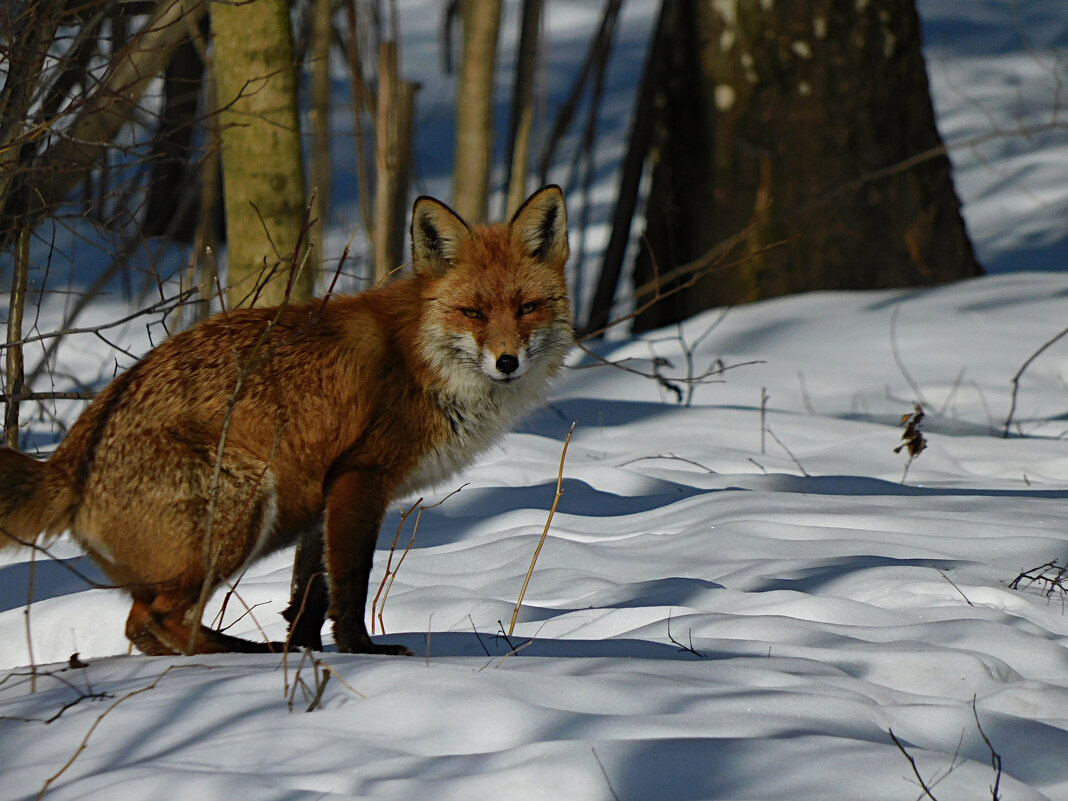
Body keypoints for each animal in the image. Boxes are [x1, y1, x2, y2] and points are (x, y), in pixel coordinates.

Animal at [0, 184, 576, 653]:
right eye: (473, 313)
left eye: (526, 308)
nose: (507, 362)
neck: (420, 358)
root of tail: (66, 459)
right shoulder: (360, 477)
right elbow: (350, 581)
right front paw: (363, 652)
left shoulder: (323, 493)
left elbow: (309, 592)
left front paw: (307, 652)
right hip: (249, 502)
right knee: (154, 619)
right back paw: (237, 654)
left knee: (142, 624)